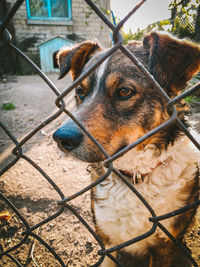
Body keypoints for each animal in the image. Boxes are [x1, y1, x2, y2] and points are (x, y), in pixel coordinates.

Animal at [53, 33, 200, 267]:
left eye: (124, 92)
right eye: (80, 93)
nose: (61, 138)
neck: (135, 177)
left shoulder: (164, 245)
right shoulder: (106, 240)